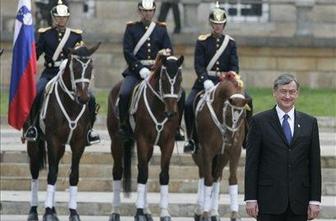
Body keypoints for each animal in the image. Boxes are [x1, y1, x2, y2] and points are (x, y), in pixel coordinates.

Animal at [25, 43, 100, 221]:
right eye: (75, 67)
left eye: (91, 67)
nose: (84, 98)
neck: (72, 105)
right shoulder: (53, 140)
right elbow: (51, 175)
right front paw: (47, 212)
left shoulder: (78, 143)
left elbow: (74, 175)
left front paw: (73, 213)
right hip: (35, 145)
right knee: (35, 172)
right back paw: (34, 211)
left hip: (59, 148)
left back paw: (53, 210)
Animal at [106, 53, 184, 221]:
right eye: (163, 79)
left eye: (180, 79)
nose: (171, 113)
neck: (161, 107)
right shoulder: (143, 141)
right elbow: (142, 175)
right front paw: (139, 213)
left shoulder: (168, 143)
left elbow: (163, 175)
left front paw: (164, 213)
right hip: (116, 141)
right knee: (118, 171)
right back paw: (115, 211)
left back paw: (147, 211)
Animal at [190, 73, 248, 221]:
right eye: (228, 113)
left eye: (244, 115)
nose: (231, 138)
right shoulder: (207, 151)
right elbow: (208, 180)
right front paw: (205, 213)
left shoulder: (234, 152)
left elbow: (232, 179)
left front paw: (234, 213)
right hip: (199, 154)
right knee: (204, 175)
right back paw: (199, 210)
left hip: (222, 156)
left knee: (216, 176)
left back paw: (214, 213)